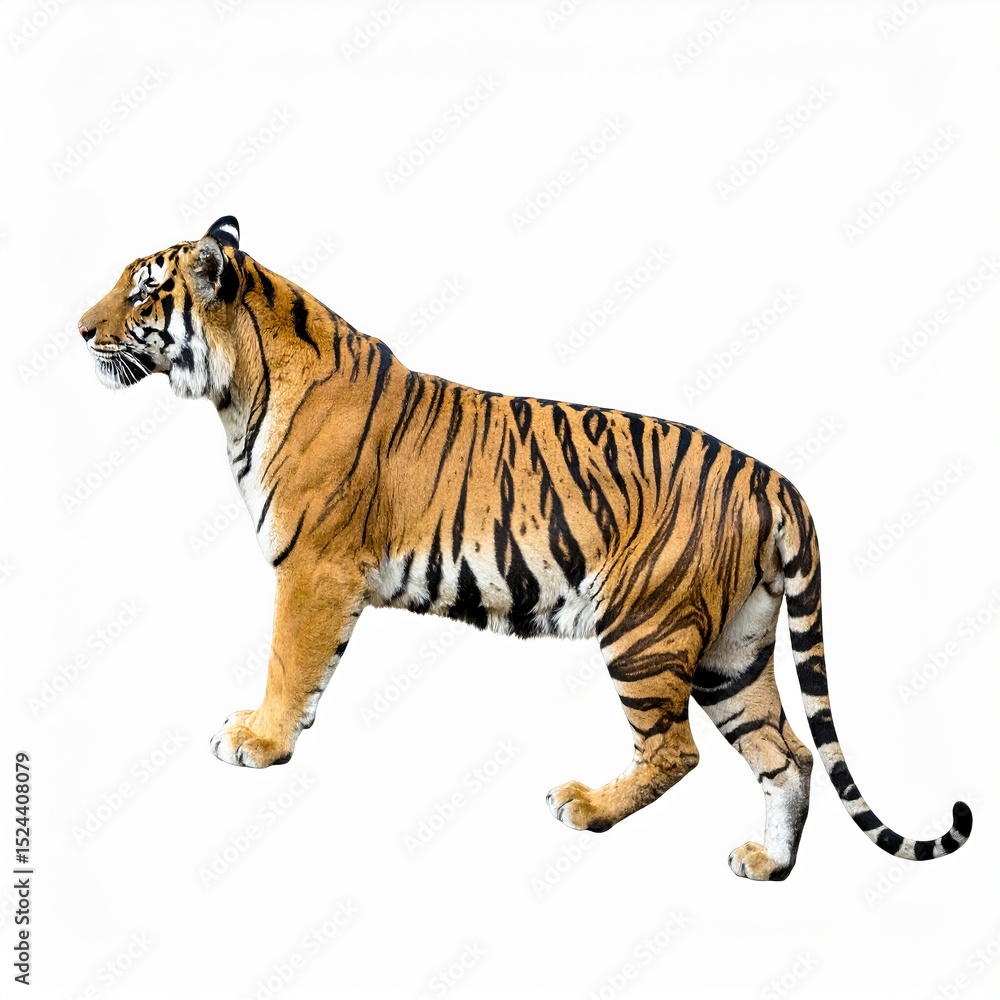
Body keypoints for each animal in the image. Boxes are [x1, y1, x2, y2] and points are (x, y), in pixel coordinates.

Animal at [78, 216, 972, 880]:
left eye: (142, 291)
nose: (80, 330)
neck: (236, 387)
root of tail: (775, 480)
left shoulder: (312, 569)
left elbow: (289, 660)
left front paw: (259, 741)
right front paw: (264, 731)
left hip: (645, 629)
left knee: (676, 750)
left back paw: (588, 807)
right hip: (734, 648)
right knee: (788, 754)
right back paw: (768, 864)